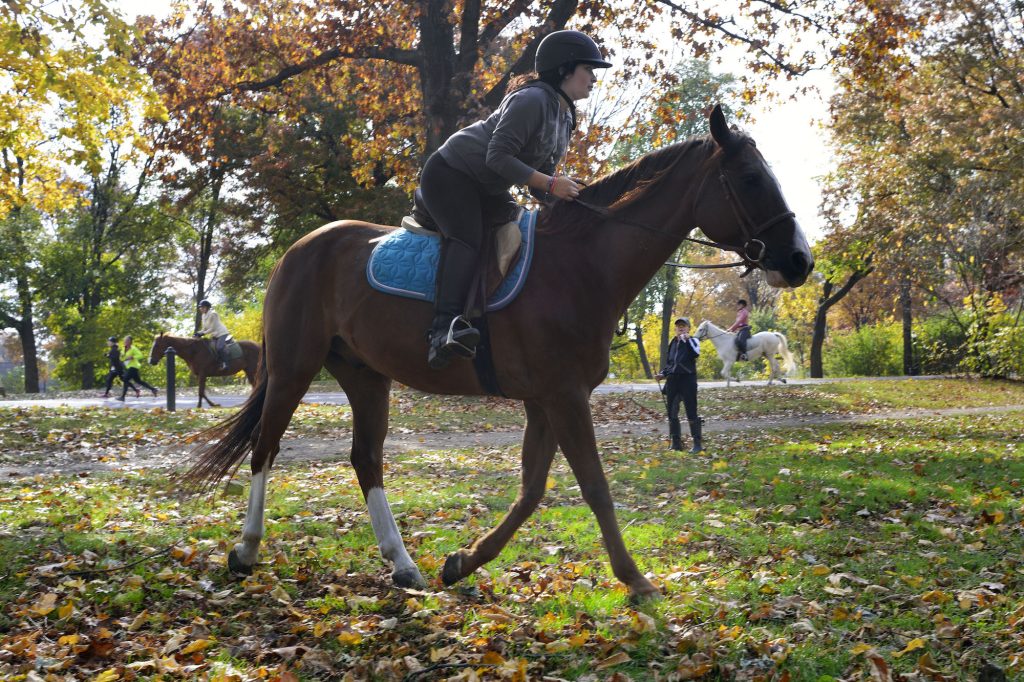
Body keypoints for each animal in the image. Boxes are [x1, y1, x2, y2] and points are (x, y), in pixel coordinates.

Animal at [186, 104, 815, 593]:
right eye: (751, 178)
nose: (800, 261)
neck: (581, 265)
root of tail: (301, 247)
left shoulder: (547, 400)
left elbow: (533, 489)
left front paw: (462, 562)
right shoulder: (564, 397)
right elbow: (594, 486)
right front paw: (636, 580)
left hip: (366, 375)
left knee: (366, 459)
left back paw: (403, 565)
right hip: (294, 368)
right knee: (265, 448)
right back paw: (246, 550)